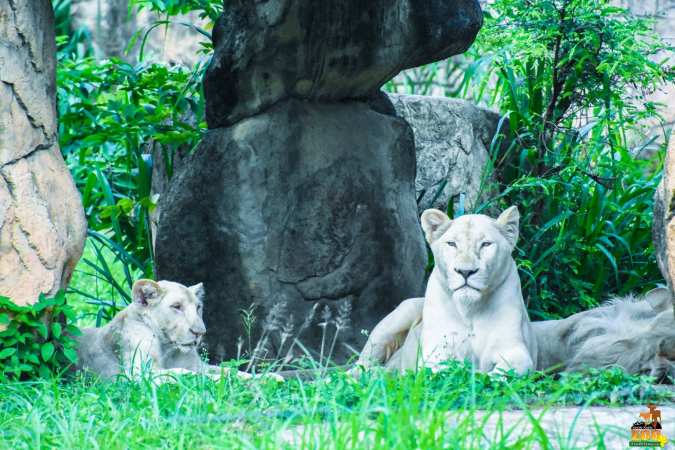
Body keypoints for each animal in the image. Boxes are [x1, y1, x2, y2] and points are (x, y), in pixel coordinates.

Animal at [72, 280, 276, 382]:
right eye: (177, 307)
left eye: (198, 307)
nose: (200, 332)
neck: (168, 347)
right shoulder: (142, 373)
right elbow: (185, 374)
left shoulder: (199, 365)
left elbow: (229, 370)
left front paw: (266, 377)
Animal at [356, 206, 536, 374]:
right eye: (452, 244)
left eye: (486, 244)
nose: (465, 271)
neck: (470, 310)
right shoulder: (435, 352)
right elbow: (444, 371)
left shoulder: (516, 350)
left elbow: (504, 372)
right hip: (397, 318)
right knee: (361, 363)